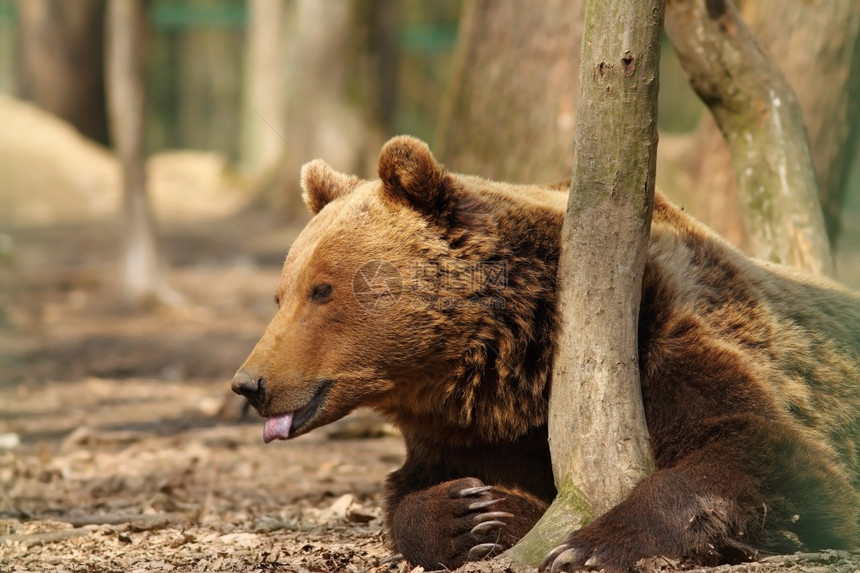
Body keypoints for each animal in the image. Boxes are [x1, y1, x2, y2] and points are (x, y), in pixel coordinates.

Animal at [232, 136, 860, 568]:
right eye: (282, 293)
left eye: (322, 290)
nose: (249, 383)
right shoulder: (468, 432)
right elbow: (411, 493)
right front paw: (470, 514)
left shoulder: (660, 344)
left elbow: (764, 448)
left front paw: (589, 545)